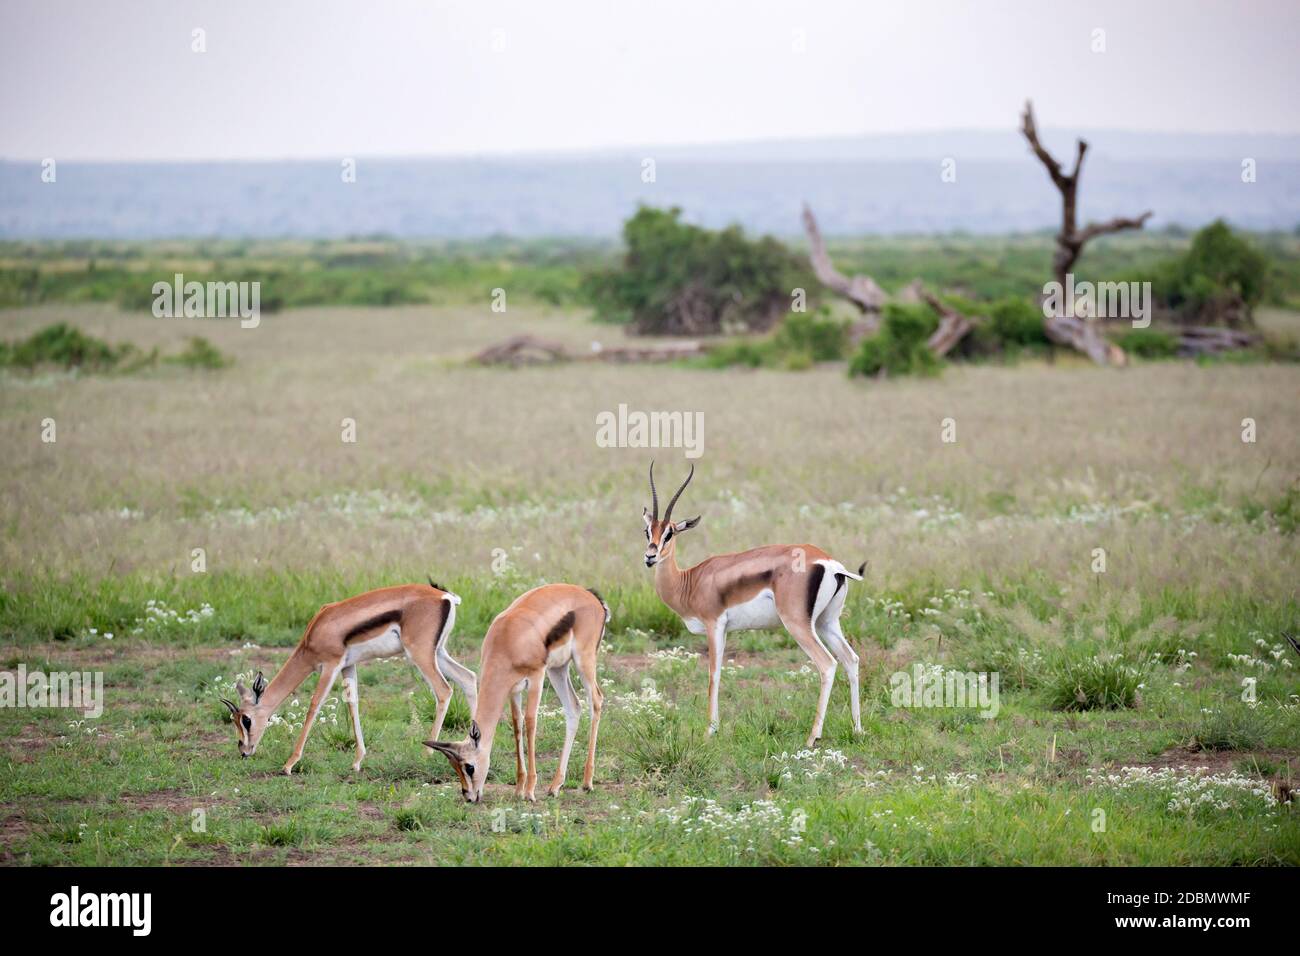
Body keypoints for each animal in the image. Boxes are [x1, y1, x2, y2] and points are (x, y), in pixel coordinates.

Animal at [220, 580, 477, 775]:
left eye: (246, 720)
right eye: (235, 720)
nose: (244, 750)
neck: (315, 633)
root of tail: (445, 596)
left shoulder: (330, 665)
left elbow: (314, 705)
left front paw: (289, 764)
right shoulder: (348, 666)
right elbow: (352, 704)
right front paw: (357, 761)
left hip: (420, 654)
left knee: (444, 690)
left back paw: (426, 753)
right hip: (438, 653)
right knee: (469, 678)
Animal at [426, 584, 607, 803]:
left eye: (469, 767)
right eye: (455, 767)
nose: (469, 796)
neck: (507, 640)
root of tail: (591, 596)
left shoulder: (536, 677)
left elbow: (530, 722)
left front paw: (529, 791)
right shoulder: (513, 689)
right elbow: (517, 725)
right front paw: (519, 789)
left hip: (583, 661)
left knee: (596, 701)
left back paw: (587, 782)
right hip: (558, 669)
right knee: (573, 707)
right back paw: (555, 786)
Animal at [642, 462, 865, 748]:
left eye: (669, 533)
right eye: (648, 531)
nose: (650, 556)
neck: (690, 581)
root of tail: (830, 563)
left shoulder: (714, 624)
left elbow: (713, 673)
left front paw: (710, 731)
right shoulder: (725, 629)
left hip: (798, 624)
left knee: (827, 664)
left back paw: (812, 737)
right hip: (827, 622)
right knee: (850, 659)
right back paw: (857, 730)